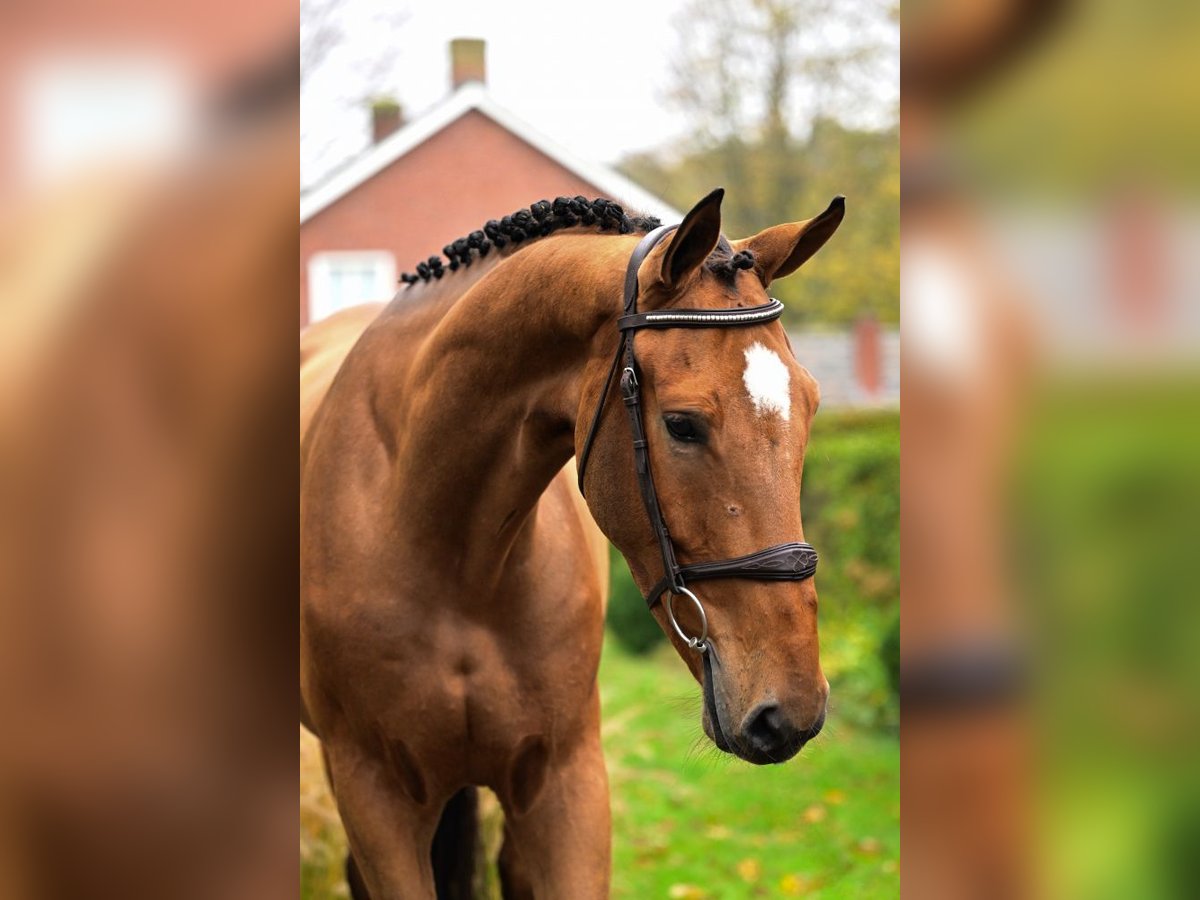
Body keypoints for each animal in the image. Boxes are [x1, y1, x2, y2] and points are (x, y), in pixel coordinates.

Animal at [300, 187, 844, 897]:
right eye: (682, 425)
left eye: (811, 405)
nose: (793, 710)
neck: (449, 554)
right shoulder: (375, 798)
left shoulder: (567, 783)